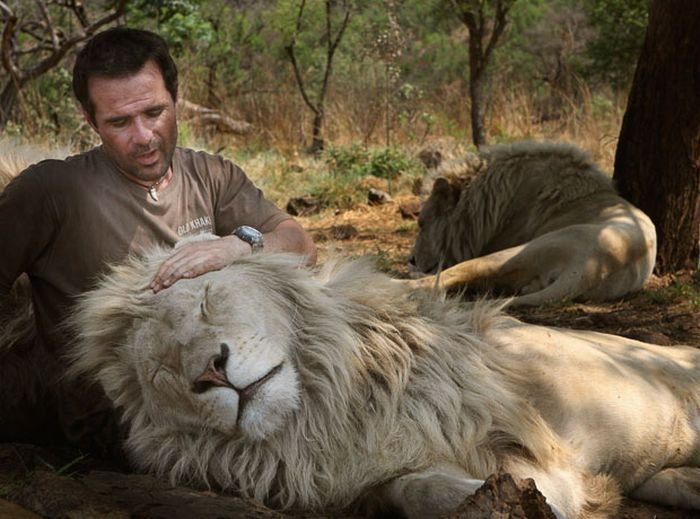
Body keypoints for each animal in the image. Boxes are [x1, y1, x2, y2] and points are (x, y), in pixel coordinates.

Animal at [67, 247, 700, 519]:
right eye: (161, 373)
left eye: (204, 300)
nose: (209, 372)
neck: (321, 412)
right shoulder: (358, 480)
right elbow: (413, 490)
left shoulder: (524, 440)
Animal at [408, 140, 660, 306]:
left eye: (421, 223)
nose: (411, 259)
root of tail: (590, 271)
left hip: (515, 253)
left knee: (446, 277)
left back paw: (408, 280)